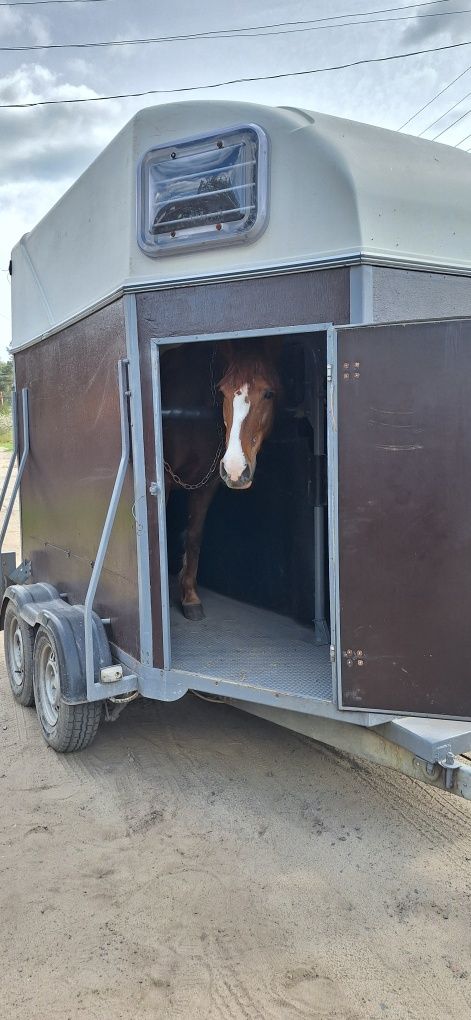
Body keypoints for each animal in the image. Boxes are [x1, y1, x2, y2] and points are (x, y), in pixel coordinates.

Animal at [162, 338, 279, 616]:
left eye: (268, 393)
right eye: (223, 392)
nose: (236, 468)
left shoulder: (207, 485)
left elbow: (194, 536)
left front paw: (190, 597)